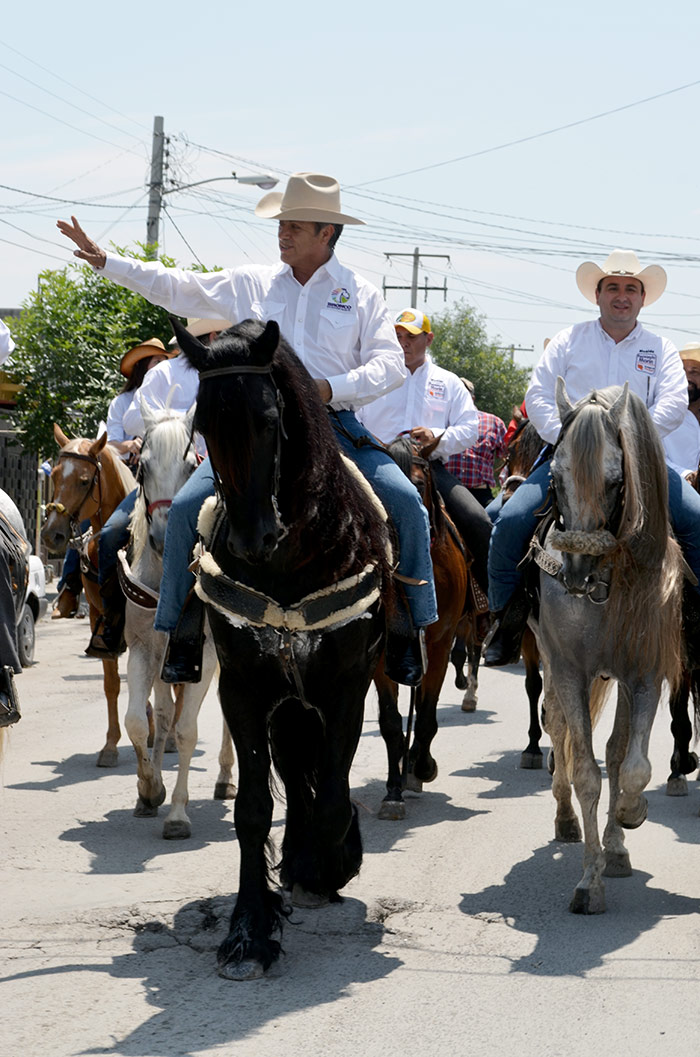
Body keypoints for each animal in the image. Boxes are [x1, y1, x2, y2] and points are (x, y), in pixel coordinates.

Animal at [42, 424, 137, 765]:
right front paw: (110, 745)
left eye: (85, 480)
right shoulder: (102, 615)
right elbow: (112, 683)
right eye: (56, 475)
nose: (51, 535)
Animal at [122, 408, 236, 837]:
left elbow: (187, 731)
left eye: (192, 465)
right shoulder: (144, 649)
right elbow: (139, 721)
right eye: (141, 468)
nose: (162, 536)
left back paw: (226, 778)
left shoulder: (203, 654)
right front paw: (149, 789)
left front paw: (176, 814)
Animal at [175, 317, 391, 976]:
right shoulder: (244, 687)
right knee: (295, 773)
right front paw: (250, 927)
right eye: (204, 423)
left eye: (270, 418)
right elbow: (251, 809)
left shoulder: (348, 684)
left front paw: (326, 864)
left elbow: (335, 794)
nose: (253, 538)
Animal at [535, 382, 680, 917]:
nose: (575, 572)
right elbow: (586, 772)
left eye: (617, 481)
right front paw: (588, 883)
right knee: (557, 728)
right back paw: (565, 820)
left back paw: (617, 846)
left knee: (618, 750)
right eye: (554, 477)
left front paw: (630, 816)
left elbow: (631, 765)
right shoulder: (569, 671)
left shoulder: (645, 674)